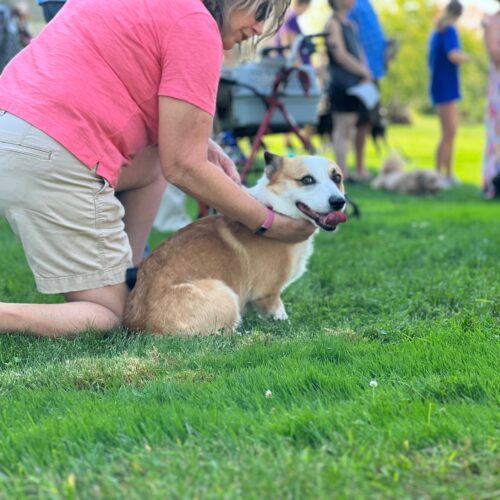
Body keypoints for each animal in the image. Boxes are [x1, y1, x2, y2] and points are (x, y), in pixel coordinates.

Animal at [124, 152, 348, 336]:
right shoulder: (268, 293)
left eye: (337, 178)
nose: (339, 202)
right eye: (307, 179)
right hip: (226, 295)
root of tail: (141, 326)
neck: (276, 207)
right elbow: (280, 314)